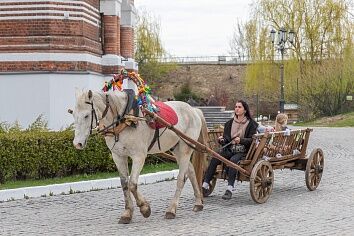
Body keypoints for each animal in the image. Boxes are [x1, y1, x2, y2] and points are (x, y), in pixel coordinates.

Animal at [70, 89, 209, 224]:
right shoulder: (118, 156)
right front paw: (127, 213)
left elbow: (132, 184)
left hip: (186, 148)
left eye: (86, 115)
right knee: (191, 171)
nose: (77, 143)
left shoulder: (139, 156)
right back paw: (198, 202)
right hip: (176, 149)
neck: (126, 119)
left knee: (181, 178)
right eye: (73, 115)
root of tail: (194, 110)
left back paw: (172, 209)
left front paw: (144, 208)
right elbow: (124, 184)